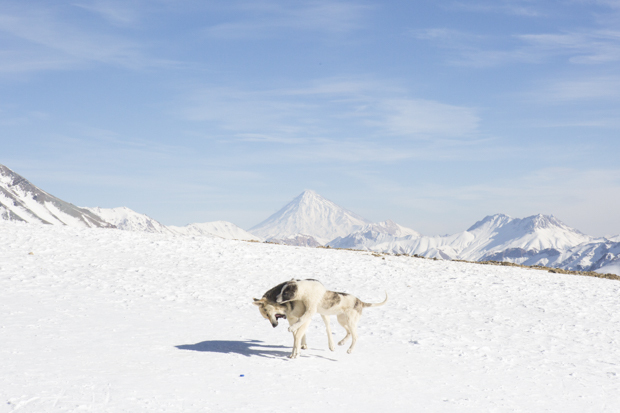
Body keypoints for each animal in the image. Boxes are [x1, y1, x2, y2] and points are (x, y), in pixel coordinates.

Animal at [253, 278, 388, 358]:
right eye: (280, 291)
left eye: (285, 293)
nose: (276, 299)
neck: (305, 291)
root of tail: (360, 302)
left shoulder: (310, 310)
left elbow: (300, 323)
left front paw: (292, 329)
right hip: (342, 319)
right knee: (349, 332)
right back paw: (341, 342)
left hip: (350, 320)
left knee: (355, 336)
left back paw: (349, 349)